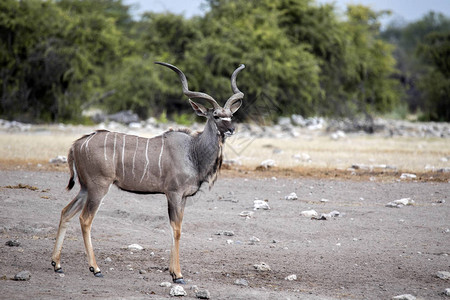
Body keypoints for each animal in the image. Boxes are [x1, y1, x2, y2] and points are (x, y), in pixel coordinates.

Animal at [50, 61, 244, 284]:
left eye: (231, 115)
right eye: (216, 116)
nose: (231, 129)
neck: (192, 152)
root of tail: (77, 144)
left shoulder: (183, 197)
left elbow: (177, 227)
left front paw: (172, 272)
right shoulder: (173, 194)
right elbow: (176, 229)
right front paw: (178, 275)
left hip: (85, 188)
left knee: (66, 212)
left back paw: (57, 264)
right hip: (98, 188)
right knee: (85, 219)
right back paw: (95, 268)